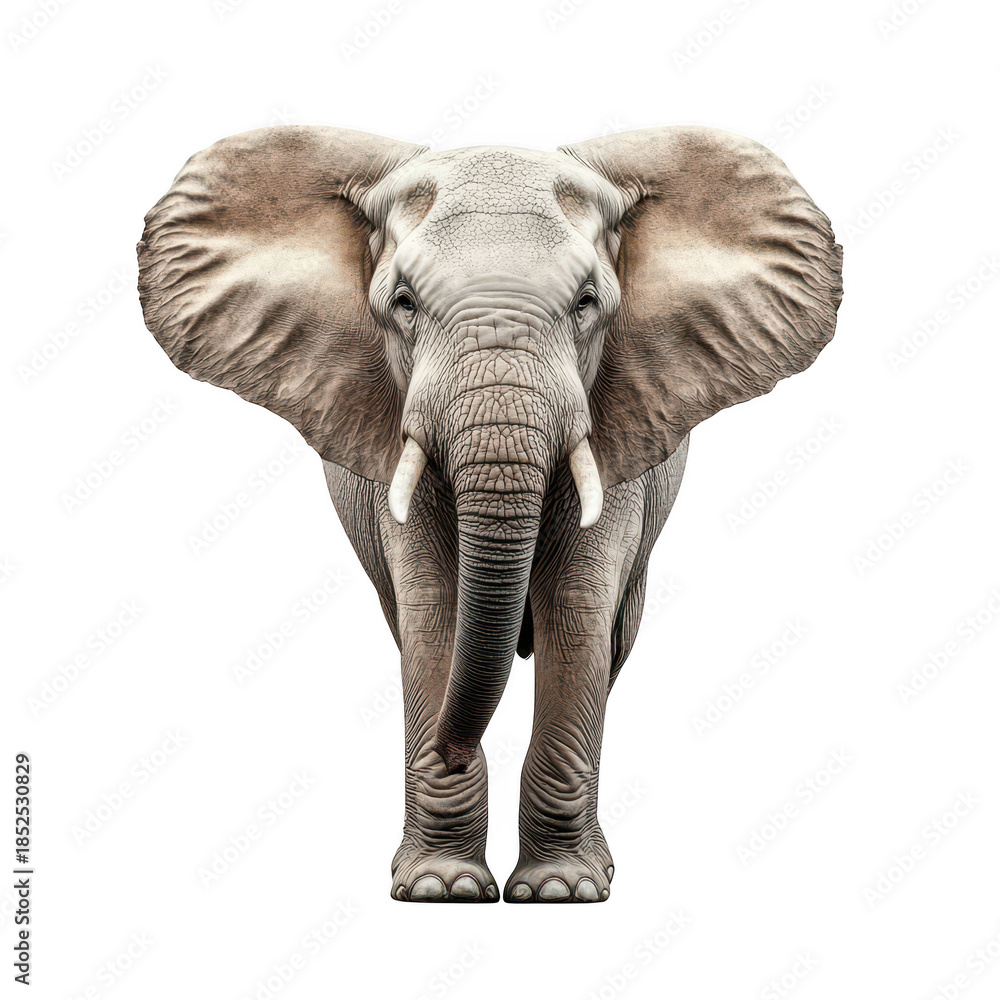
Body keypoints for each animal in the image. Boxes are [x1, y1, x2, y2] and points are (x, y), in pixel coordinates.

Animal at [137, 123, 842, 903]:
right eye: (403, 302)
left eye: (588, 302)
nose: (448, 754)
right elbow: (433, 611)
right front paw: (441, 889)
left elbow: (578, 609)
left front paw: (561, 891)